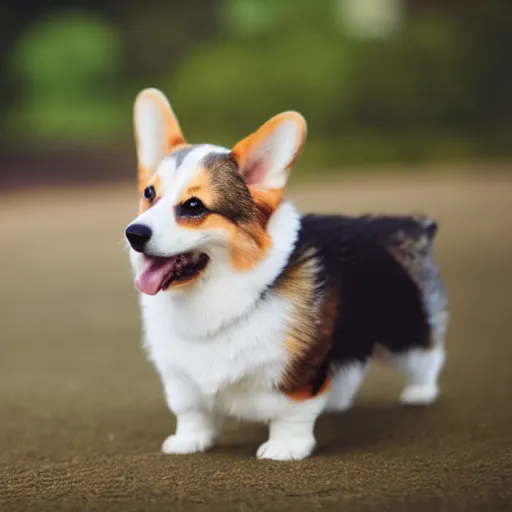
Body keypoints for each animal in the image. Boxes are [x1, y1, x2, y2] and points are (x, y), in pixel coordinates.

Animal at [124, 87, 448, 460]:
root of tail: (404, 225)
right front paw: (188, 442)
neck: (214, 293)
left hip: (405, 326)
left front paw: (285, 447)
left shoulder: (296, 373)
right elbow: (192, 414)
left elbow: (291, 413)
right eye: (149, 194)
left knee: (426, 355)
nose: (134, 234)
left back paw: (420, 393)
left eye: (194, 206)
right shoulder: (181, 382)